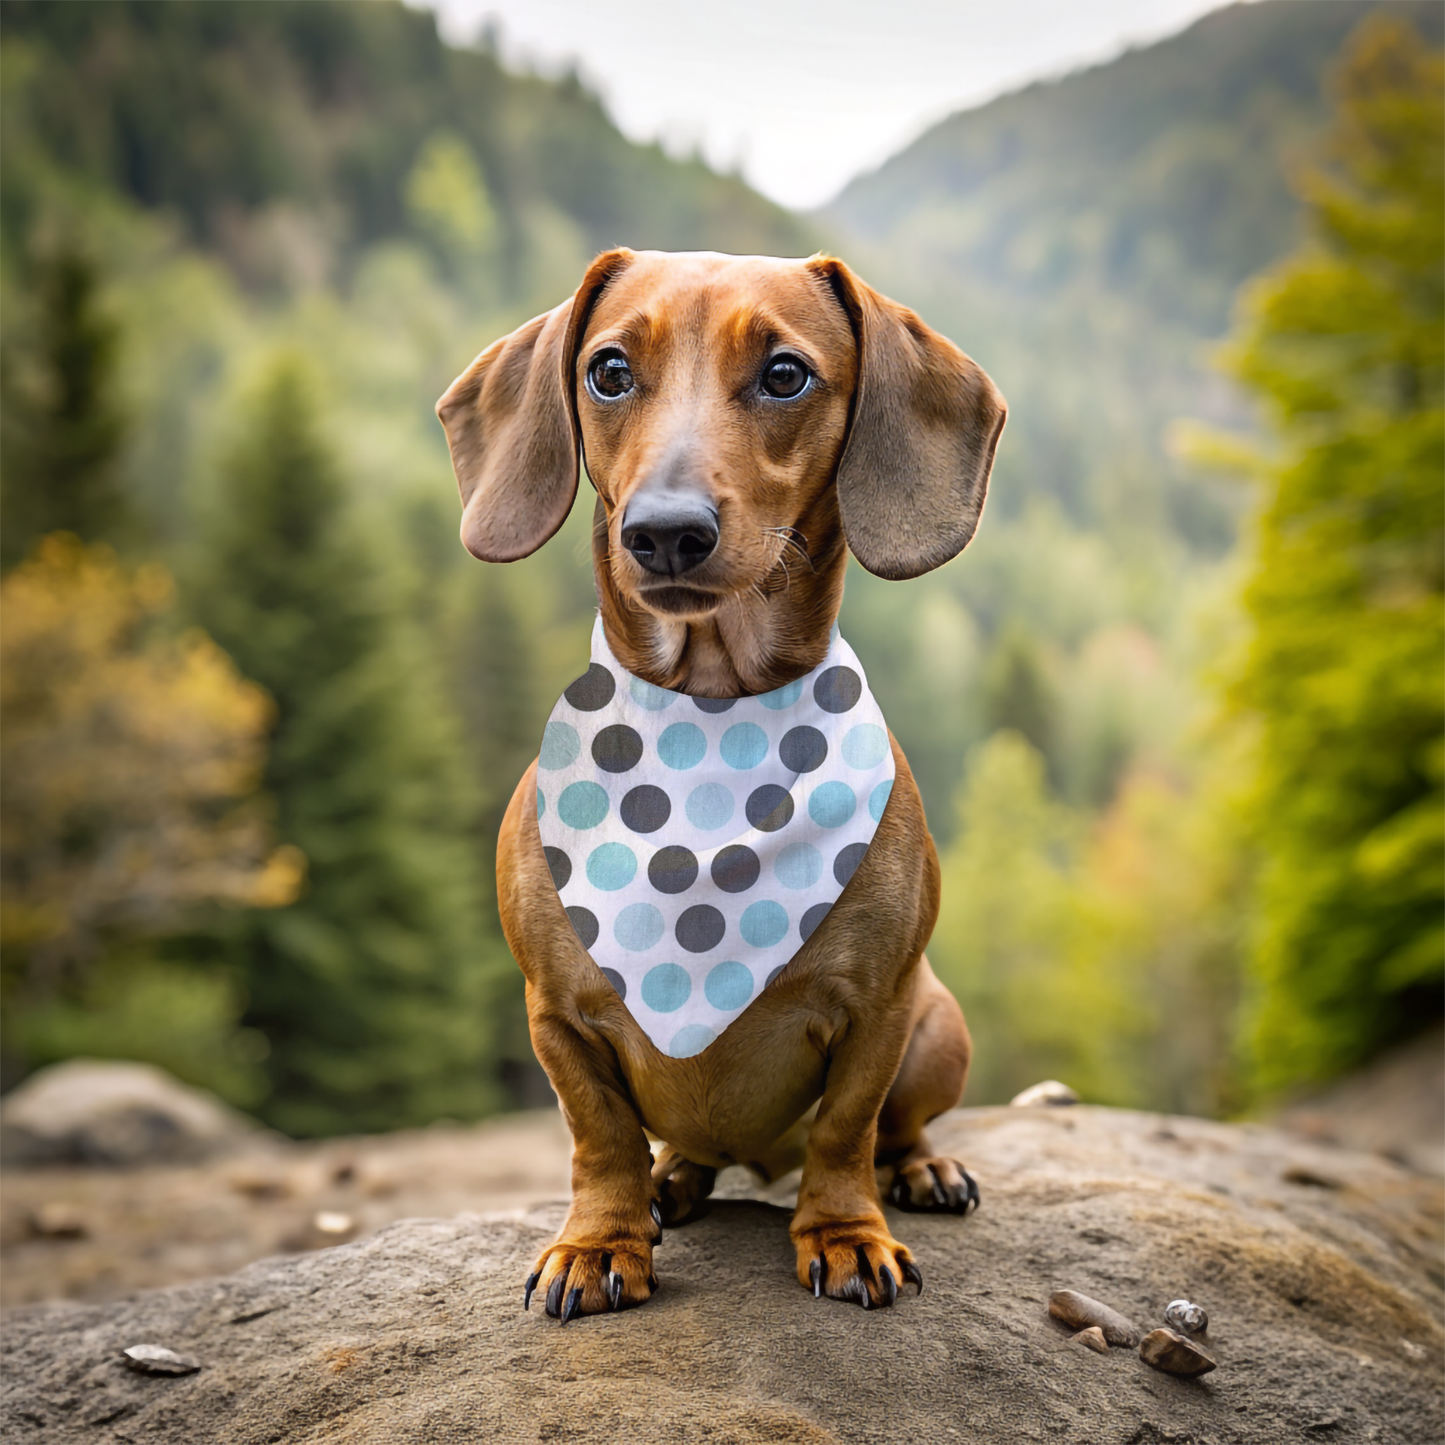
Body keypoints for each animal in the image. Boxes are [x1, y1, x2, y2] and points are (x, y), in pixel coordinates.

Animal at [439, 251, 1005, 1323]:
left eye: (784, 374)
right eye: (608, 370)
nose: (665, 533)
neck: (710, 720)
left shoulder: (879, 1007)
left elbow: (846, 1129)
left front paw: (845, 1232)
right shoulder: (556, 1014)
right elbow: (599, 1137)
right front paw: (600, 1242)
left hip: (940, 1028)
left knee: (896, 1128)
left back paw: (921, 1169)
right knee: (678, 1149)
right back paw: (675, 1180)